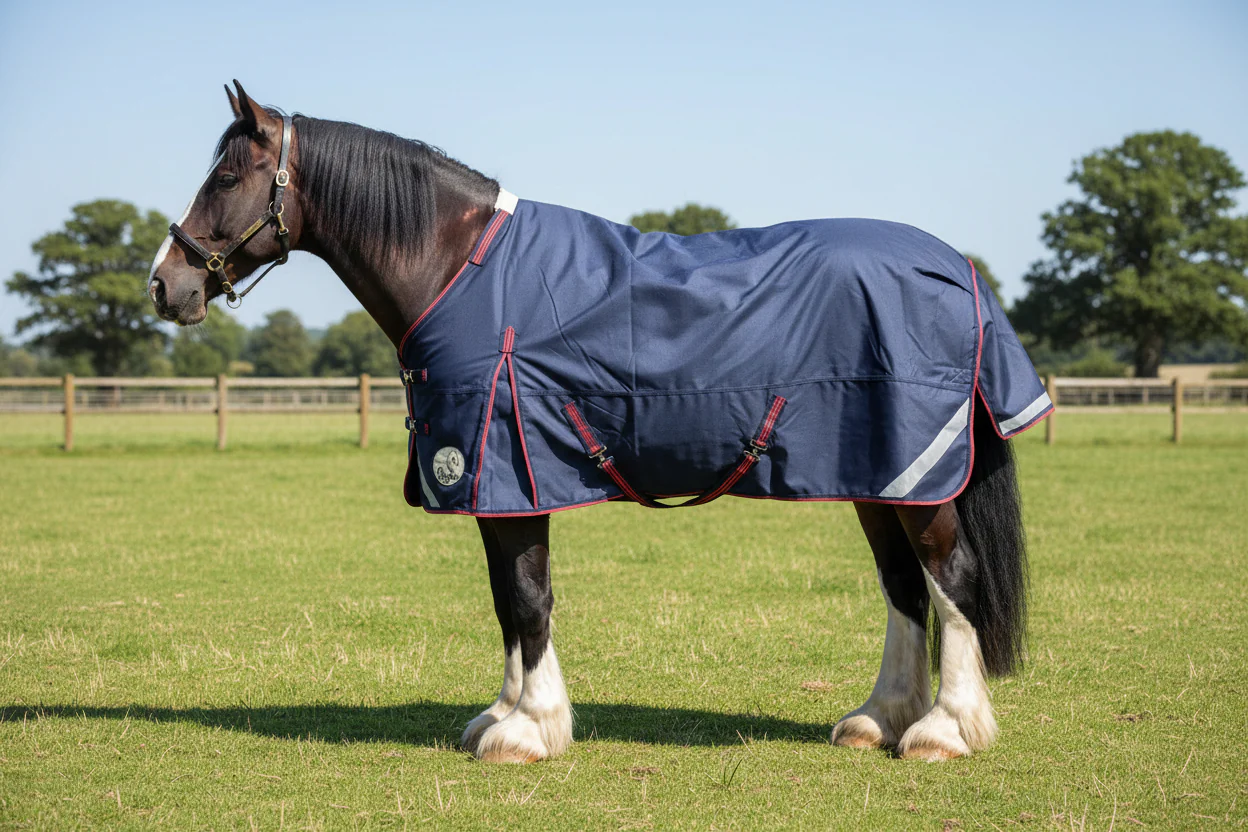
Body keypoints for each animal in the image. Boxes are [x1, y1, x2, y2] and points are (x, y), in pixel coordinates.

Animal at [149, 81, 1048, 764]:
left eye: (226, 175)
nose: (166, 284)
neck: (462, 270)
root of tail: (956, 268)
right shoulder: (493, 483)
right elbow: (507, 603)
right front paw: (504, 714)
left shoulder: (511, 470)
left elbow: (528, 597)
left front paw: (527, 731)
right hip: (881, 478)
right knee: (905, 587)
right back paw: (878, 720)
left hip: (919, 481)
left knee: (953, 579)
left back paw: (943, 731)